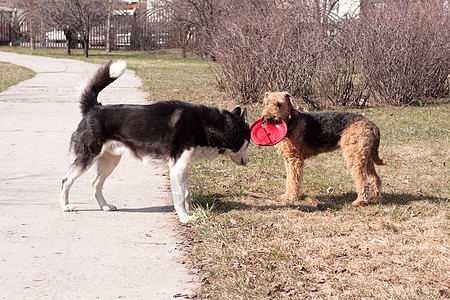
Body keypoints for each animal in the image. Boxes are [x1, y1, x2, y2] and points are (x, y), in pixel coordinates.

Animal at [59, 61, 250, 223]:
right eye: (246, 143)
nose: (248, 161)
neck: (202, 124)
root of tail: (94, 108)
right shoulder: (177, 168)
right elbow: (180, 196)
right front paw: (184, 217)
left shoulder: (183, 167)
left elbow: (186, 192)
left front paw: (191, 211)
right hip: (87, 158)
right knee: (66, 180)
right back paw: (65, 206)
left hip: (111, 160)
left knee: (95, 183)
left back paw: (104, 206)